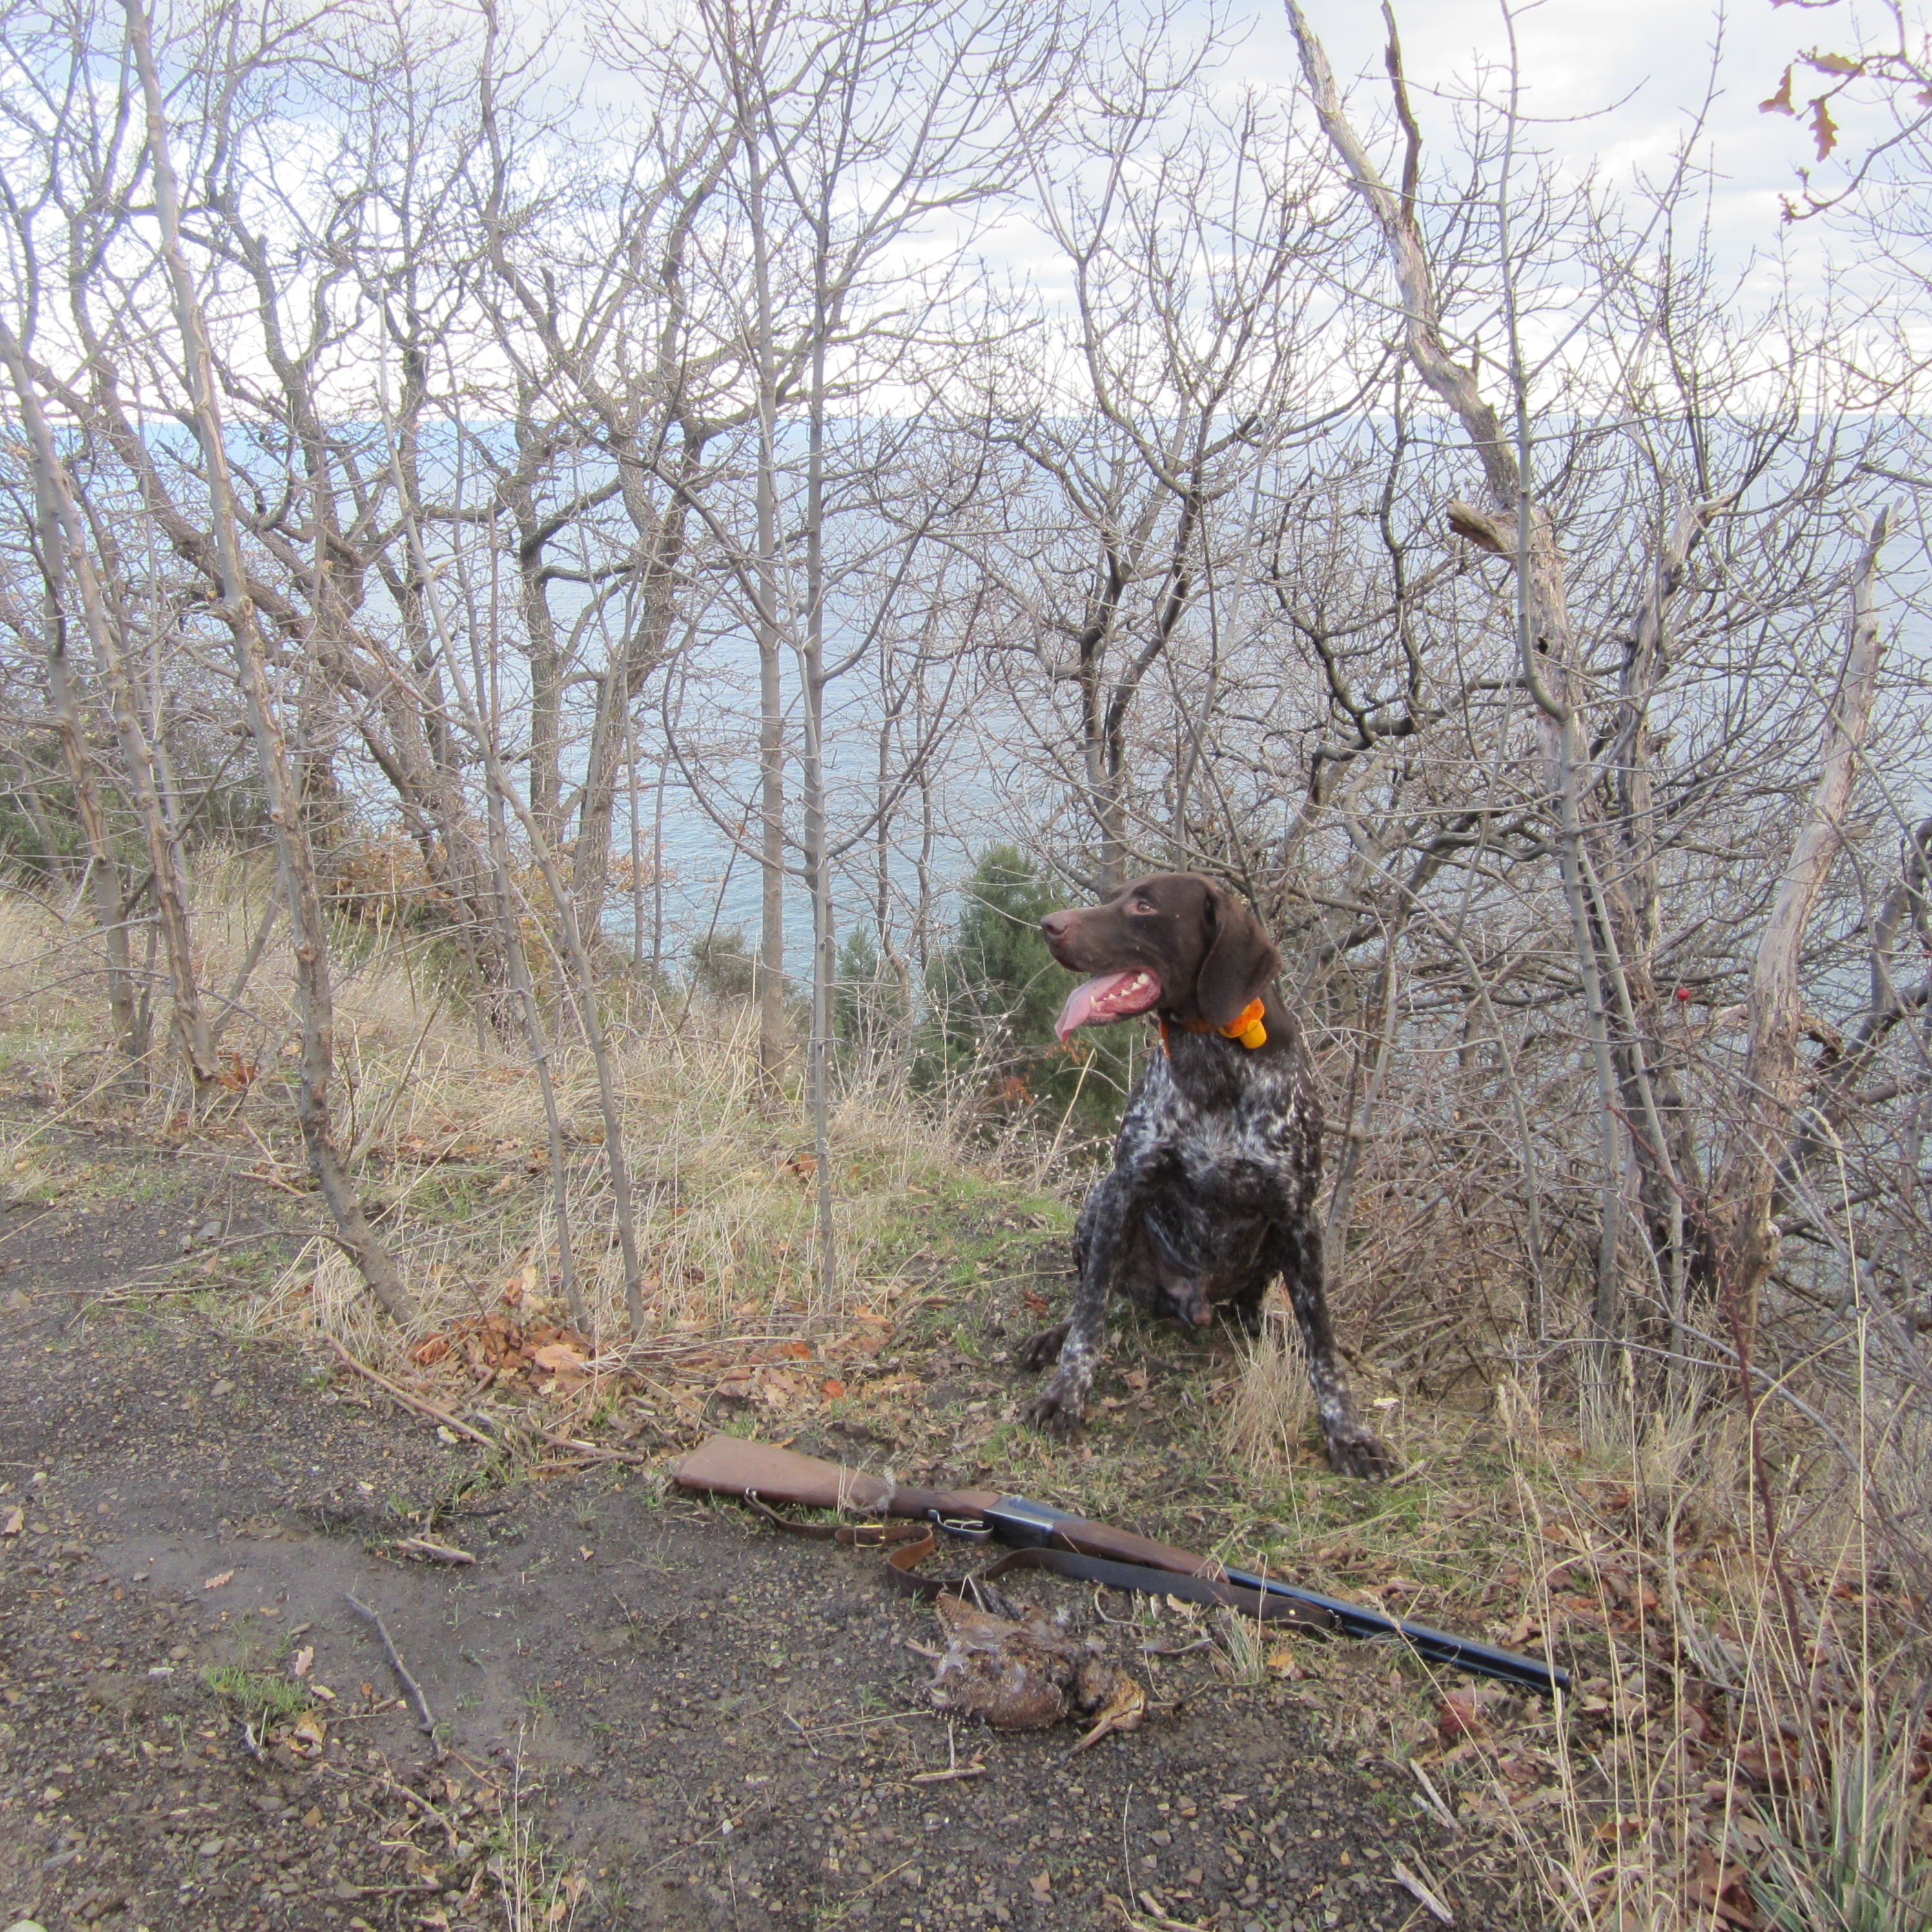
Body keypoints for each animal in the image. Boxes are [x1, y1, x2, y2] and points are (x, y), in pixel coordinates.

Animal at [1018, 871, 1392, 1477]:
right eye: (1115, 896)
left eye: (1145, 906)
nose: (1049, 925)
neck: (1213, 1060)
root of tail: (1189, 1307)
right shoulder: (1125, 1187)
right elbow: (1090, 1313)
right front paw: (1064, 1396)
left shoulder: (1298, 1216)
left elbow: (1323, 1345)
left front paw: (1348, 1433)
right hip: (1096, 1207)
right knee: (1099, 1294)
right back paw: (1054, 1335)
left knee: (1252, 1313)